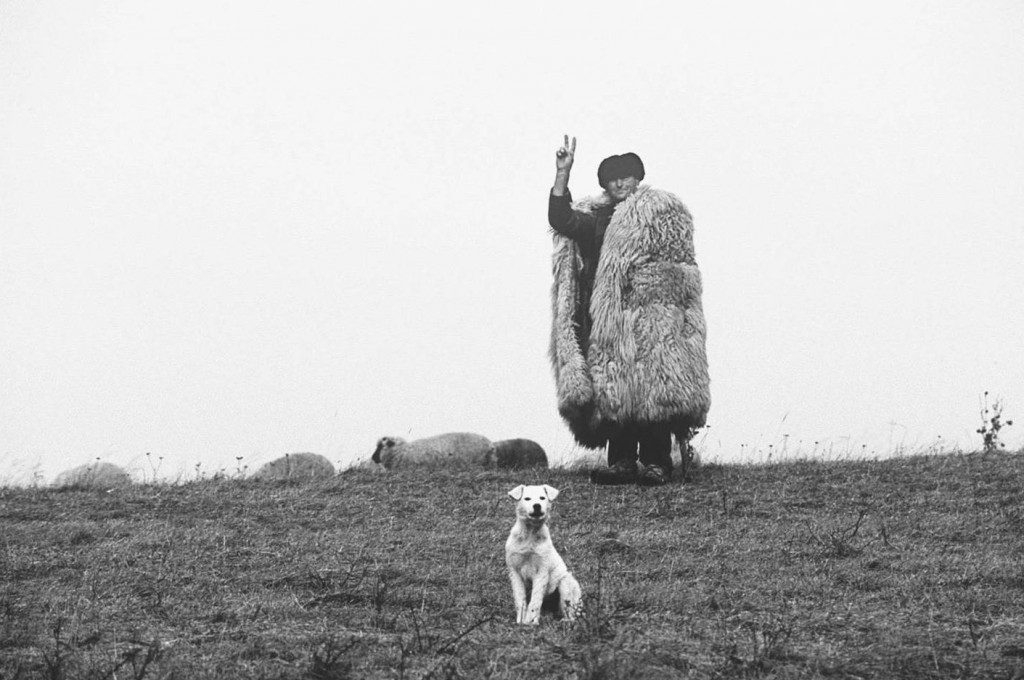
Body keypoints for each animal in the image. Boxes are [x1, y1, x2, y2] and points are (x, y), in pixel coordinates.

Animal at [505, 483, 585, 622]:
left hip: (566, 583)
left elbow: (535, 601)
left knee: (571, 613)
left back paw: (566, 621)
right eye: (527, 498)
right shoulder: (514, 571)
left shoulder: (542, 570)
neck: (530, 534)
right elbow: (520, 599)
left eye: (542, 498)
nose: (537, 505)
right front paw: (520, 622)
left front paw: (530, 623)